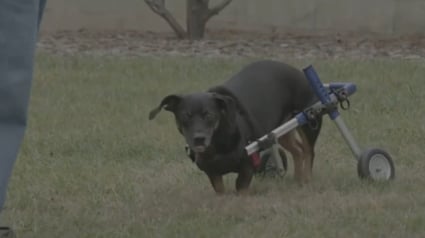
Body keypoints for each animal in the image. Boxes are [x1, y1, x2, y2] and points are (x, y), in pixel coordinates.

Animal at [149, 59, 322, 193]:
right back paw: (298, 180)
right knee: (298, 151)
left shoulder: (248, 166)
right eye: (185, 115)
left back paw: (307, 181)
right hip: (281, 130)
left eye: (209, 115)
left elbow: (240, 189)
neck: (218, 144)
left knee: (309, 152)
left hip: (308, 121)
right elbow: (220, 189)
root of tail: (299, 73)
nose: (199, 139)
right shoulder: (212, 172)